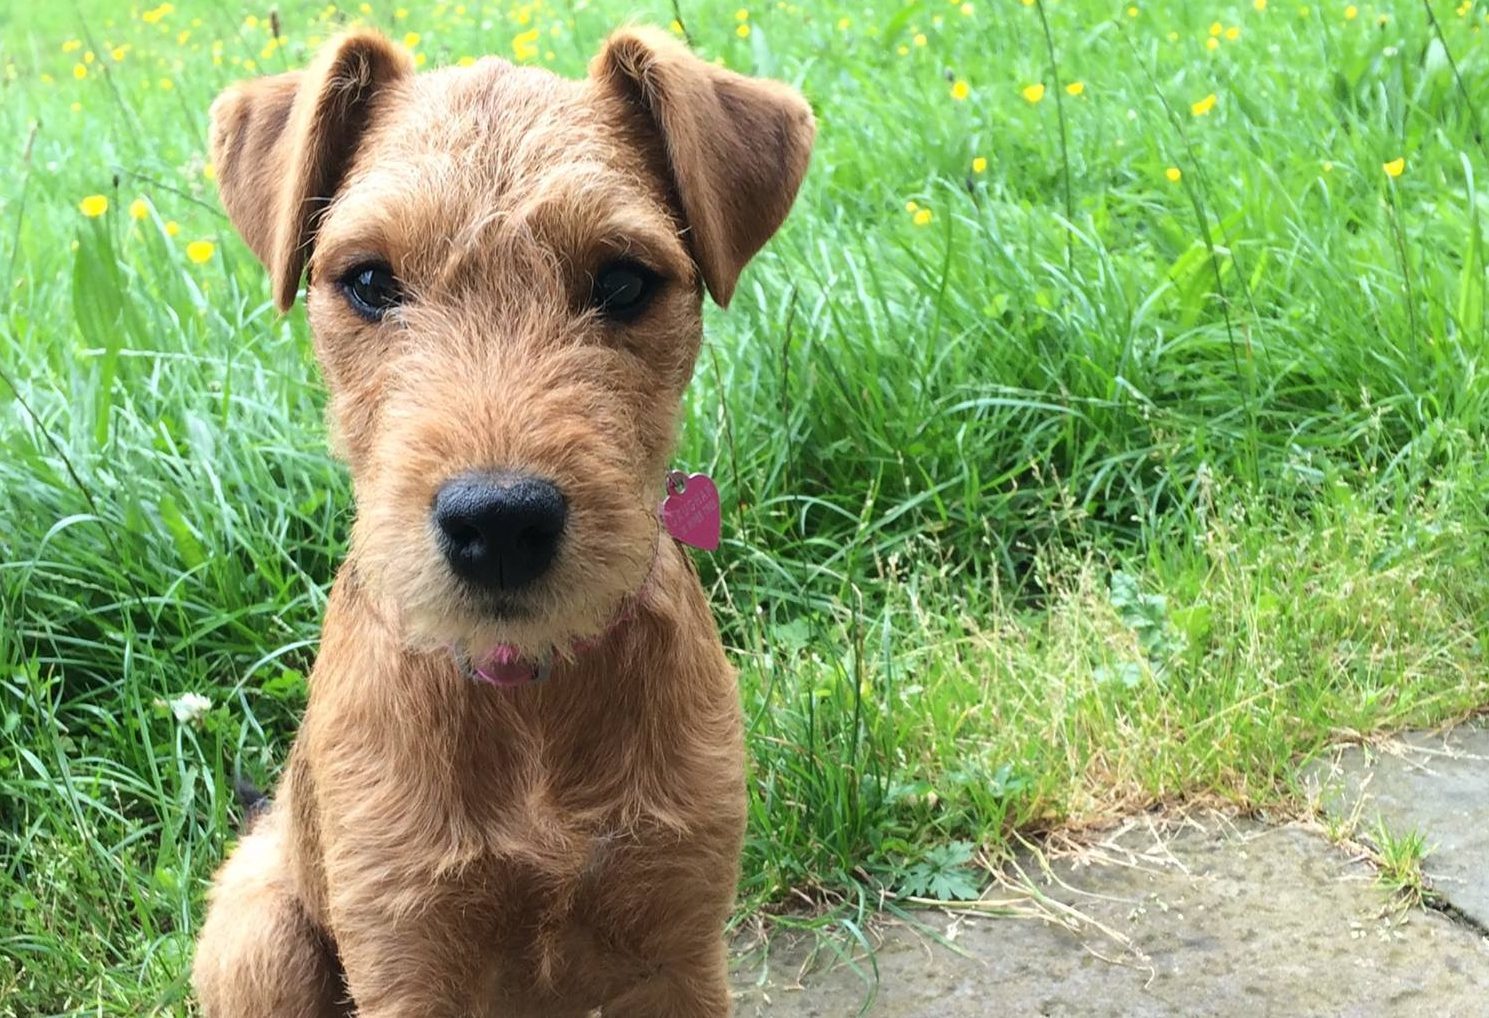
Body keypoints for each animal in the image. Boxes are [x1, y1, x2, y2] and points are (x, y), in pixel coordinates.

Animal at [189, 25, 815, 1018]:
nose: (500, 524)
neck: (529, 700)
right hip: (262, 941)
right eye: (369, 280)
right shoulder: (405, 956)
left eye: (624, 281)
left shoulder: (679, 948)